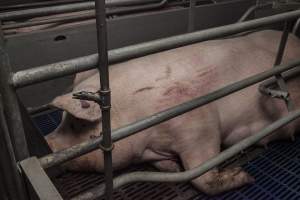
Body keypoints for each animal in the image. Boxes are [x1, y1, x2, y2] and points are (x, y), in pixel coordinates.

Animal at [45, 30, 300, 195]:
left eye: (75, 124)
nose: (47, 142)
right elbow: (168, 167)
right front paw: (174, 167)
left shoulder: (199, 123)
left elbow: (201, 173)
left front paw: (245, 177)